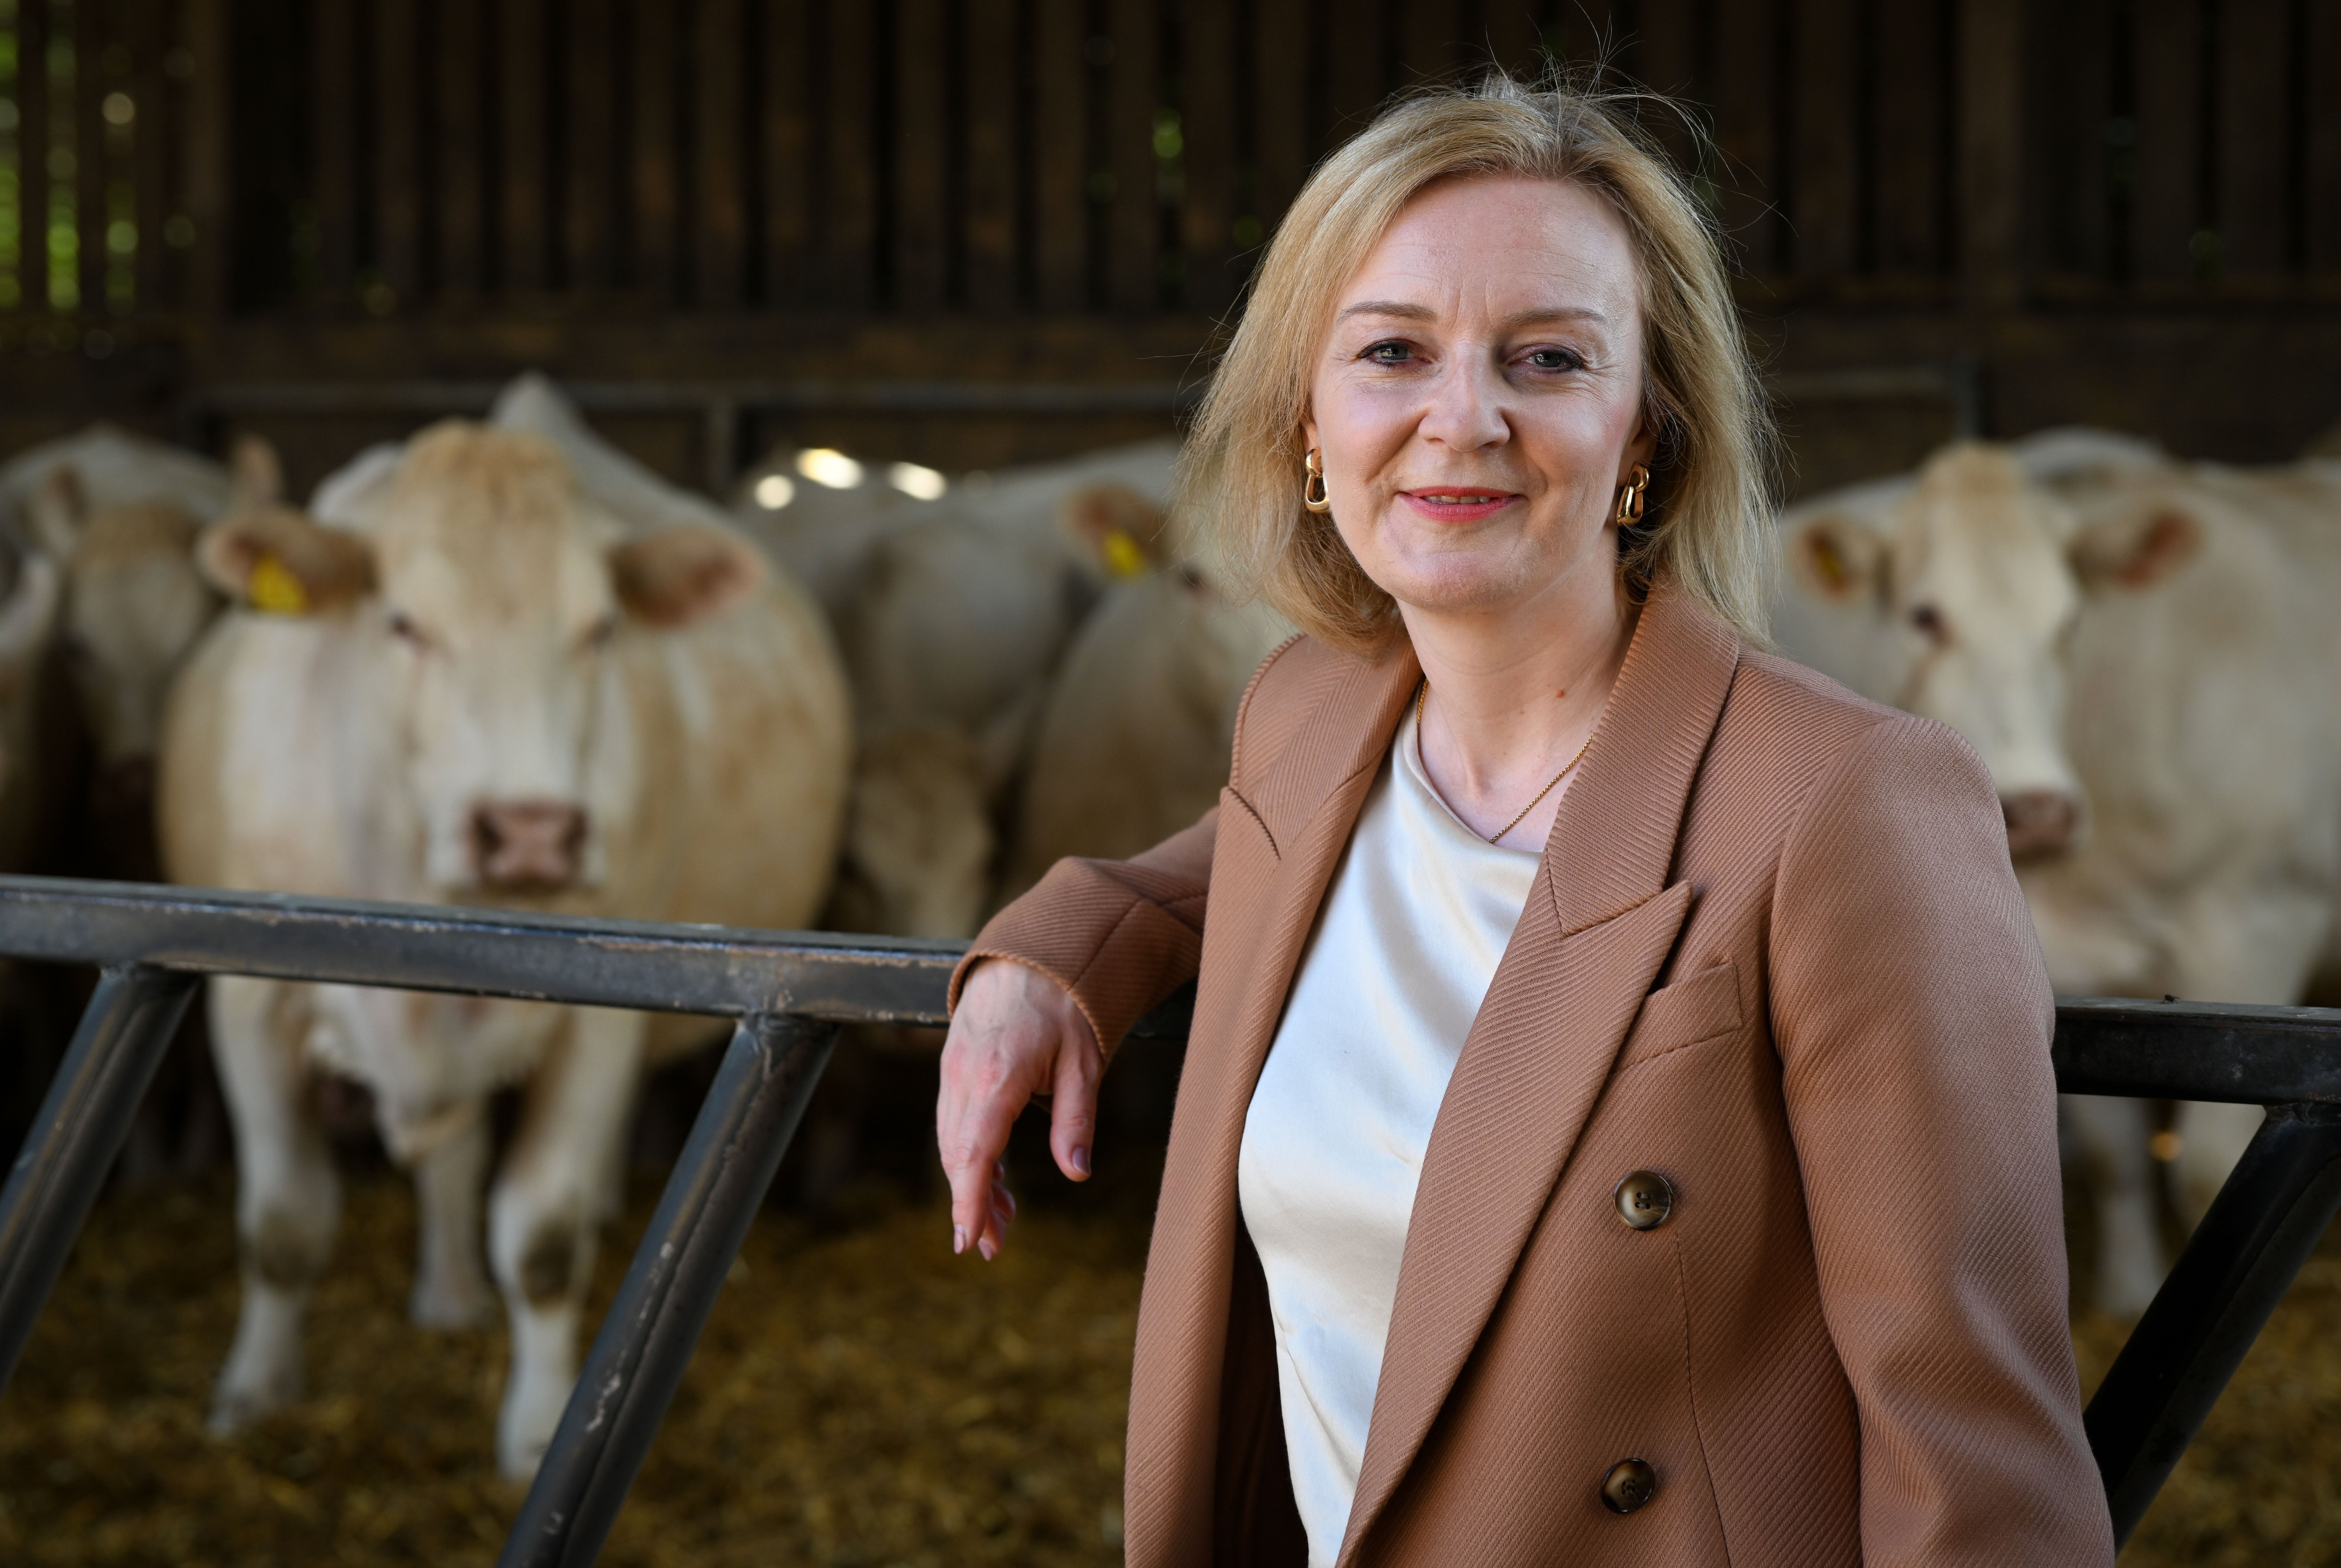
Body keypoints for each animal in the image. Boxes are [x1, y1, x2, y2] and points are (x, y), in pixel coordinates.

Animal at [158, 395, 852, 1479]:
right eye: (403, 622)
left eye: (600, 626)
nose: (531, 828)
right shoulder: (246, 1000)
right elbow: (282, 1224)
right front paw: (253, 1392)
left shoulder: (600, 1023)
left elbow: (543, 1239)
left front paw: (535, 1433)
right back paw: (446, 1294)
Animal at [1770, 435, 2341, 1320]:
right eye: (1925, 615)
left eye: (2070, 622)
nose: (2037, 809)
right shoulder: (2077, 965)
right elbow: (2113, 1154)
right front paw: (2132, 1296)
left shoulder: (2259, 918)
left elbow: (2210, 1166)